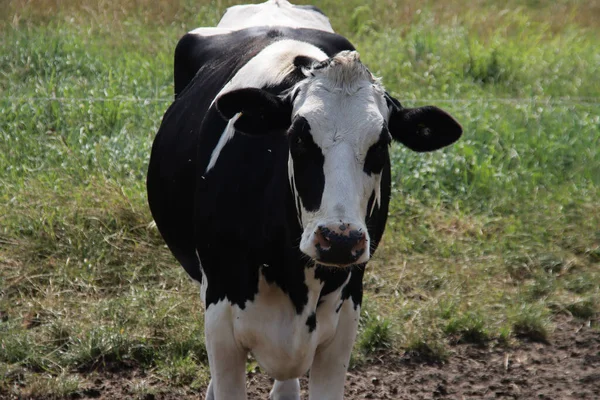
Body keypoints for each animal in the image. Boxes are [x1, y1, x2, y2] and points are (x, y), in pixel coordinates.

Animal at [146, 0, 464, 400]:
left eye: (381, 143)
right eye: (298, 136)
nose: (340, 240)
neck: (292, 275)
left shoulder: (345, 317)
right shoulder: (219, 315)